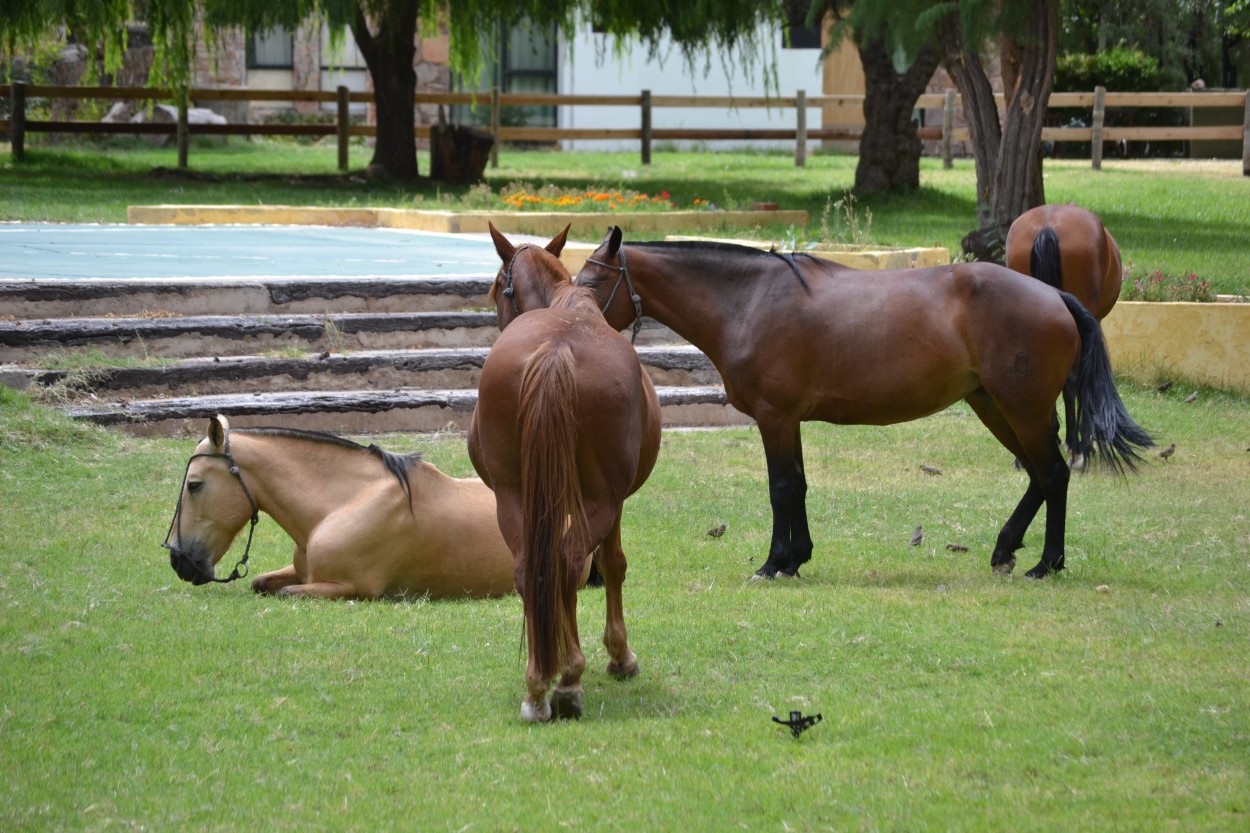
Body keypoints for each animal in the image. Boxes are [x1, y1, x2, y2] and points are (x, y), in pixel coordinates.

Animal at [162, 412, 590, 597]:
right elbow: (260, 582)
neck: (341, 503)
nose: (178, 561)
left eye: (194, 485)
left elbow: (285, 593)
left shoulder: (351, 587)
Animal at [470, 222, 665, 720]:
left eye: (496, 290)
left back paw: (538, 684)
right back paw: (568, 681)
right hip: (599, 498)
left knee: (531, 567)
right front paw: (620, 655)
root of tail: (556, 350)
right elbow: (612, 564)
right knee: (571, 561)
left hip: (512, 496)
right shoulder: (614, 503)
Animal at [575, 225, 1150, 577]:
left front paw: (774, 562)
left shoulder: (775, 418)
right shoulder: (788, 420)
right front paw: (796, 558)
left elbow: (781, 488)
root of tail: (1054, 295)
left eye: (593, 280)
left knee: (1052, 474)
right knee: (1038, 475)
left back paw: (1045, 563)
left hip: (1021, 408)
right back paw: (1007, 548)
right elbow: (798, 485)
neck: (750, 301)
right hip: (994, 406)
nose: (569, 319)